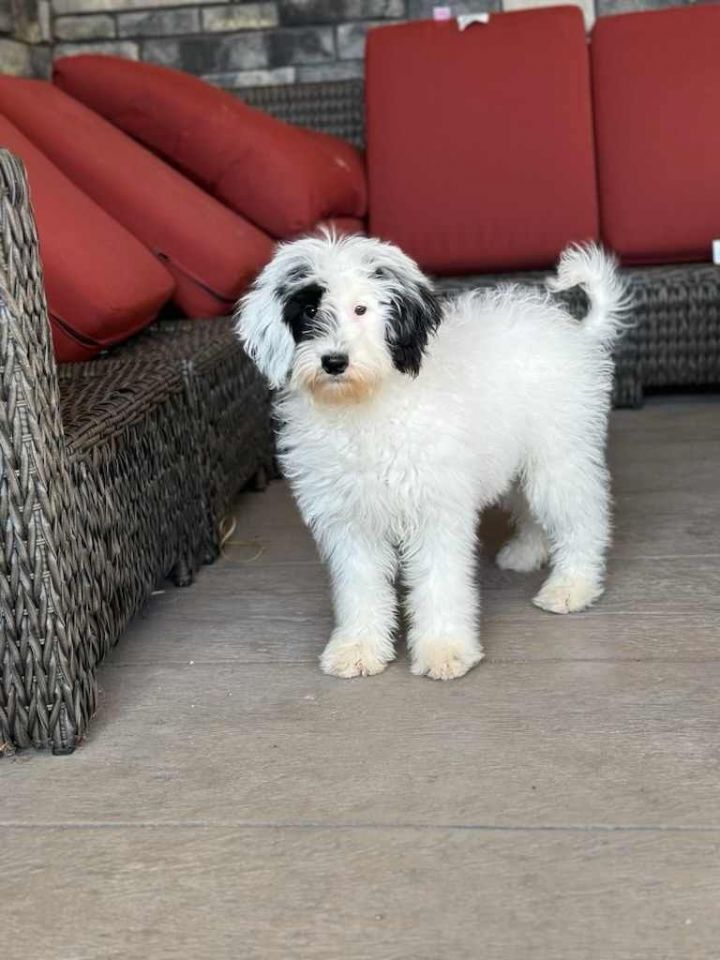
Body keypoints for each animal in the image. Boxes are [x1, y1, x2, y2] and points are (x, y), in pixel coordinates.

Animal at [235, 233, 624, 684]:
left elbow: (441, 583)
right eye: (310, 310)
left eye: (361, 309)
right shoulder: (351, 521)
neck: (366, 407)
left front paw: (444, 648)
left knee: (583, 519)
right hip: (516, 459)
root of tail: (575, 330)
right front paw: (358, 647)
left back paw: (572, 585)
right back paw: (527, 552)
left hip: (558, 456)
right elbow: (360, 587)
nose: (334, 361)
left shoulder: (436, 509)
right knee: (530, 509)